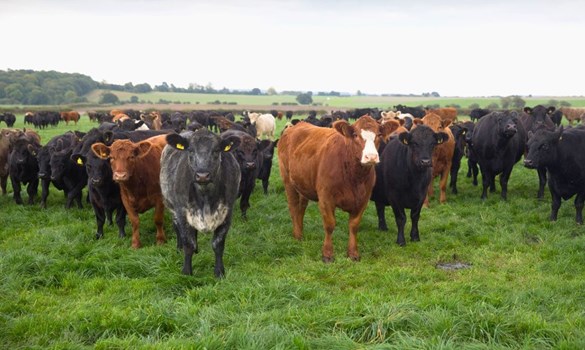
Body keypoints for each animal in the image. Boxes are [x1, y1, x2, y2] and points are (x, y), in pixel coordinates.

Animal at [159, 130, 241, 278]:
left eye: (216, 150)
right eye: (190, 150)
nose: (202, 175)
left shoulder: (227, 212)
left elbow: (218, 244)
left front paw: (219, 272)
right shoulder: (182, 212)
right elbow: (188, 243)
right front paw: (186, 271)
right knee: (177, 228)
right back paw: (179, 248)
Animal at [278, 116, 396, 262]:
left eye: (379, 135)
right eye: (355, 135)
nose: (371, 157)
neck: (355, 177)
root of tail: (295, 126)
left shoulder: (363, 199)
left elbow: (354, 225)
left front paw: (353, 253)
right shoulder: (325, 198)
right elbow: (329, 225)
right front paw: (327, 254)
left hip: (302, 184)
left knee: (301, 208)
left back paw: (300, 232)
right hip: (288, 181)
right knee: (293, 207)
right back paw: (297, 235)